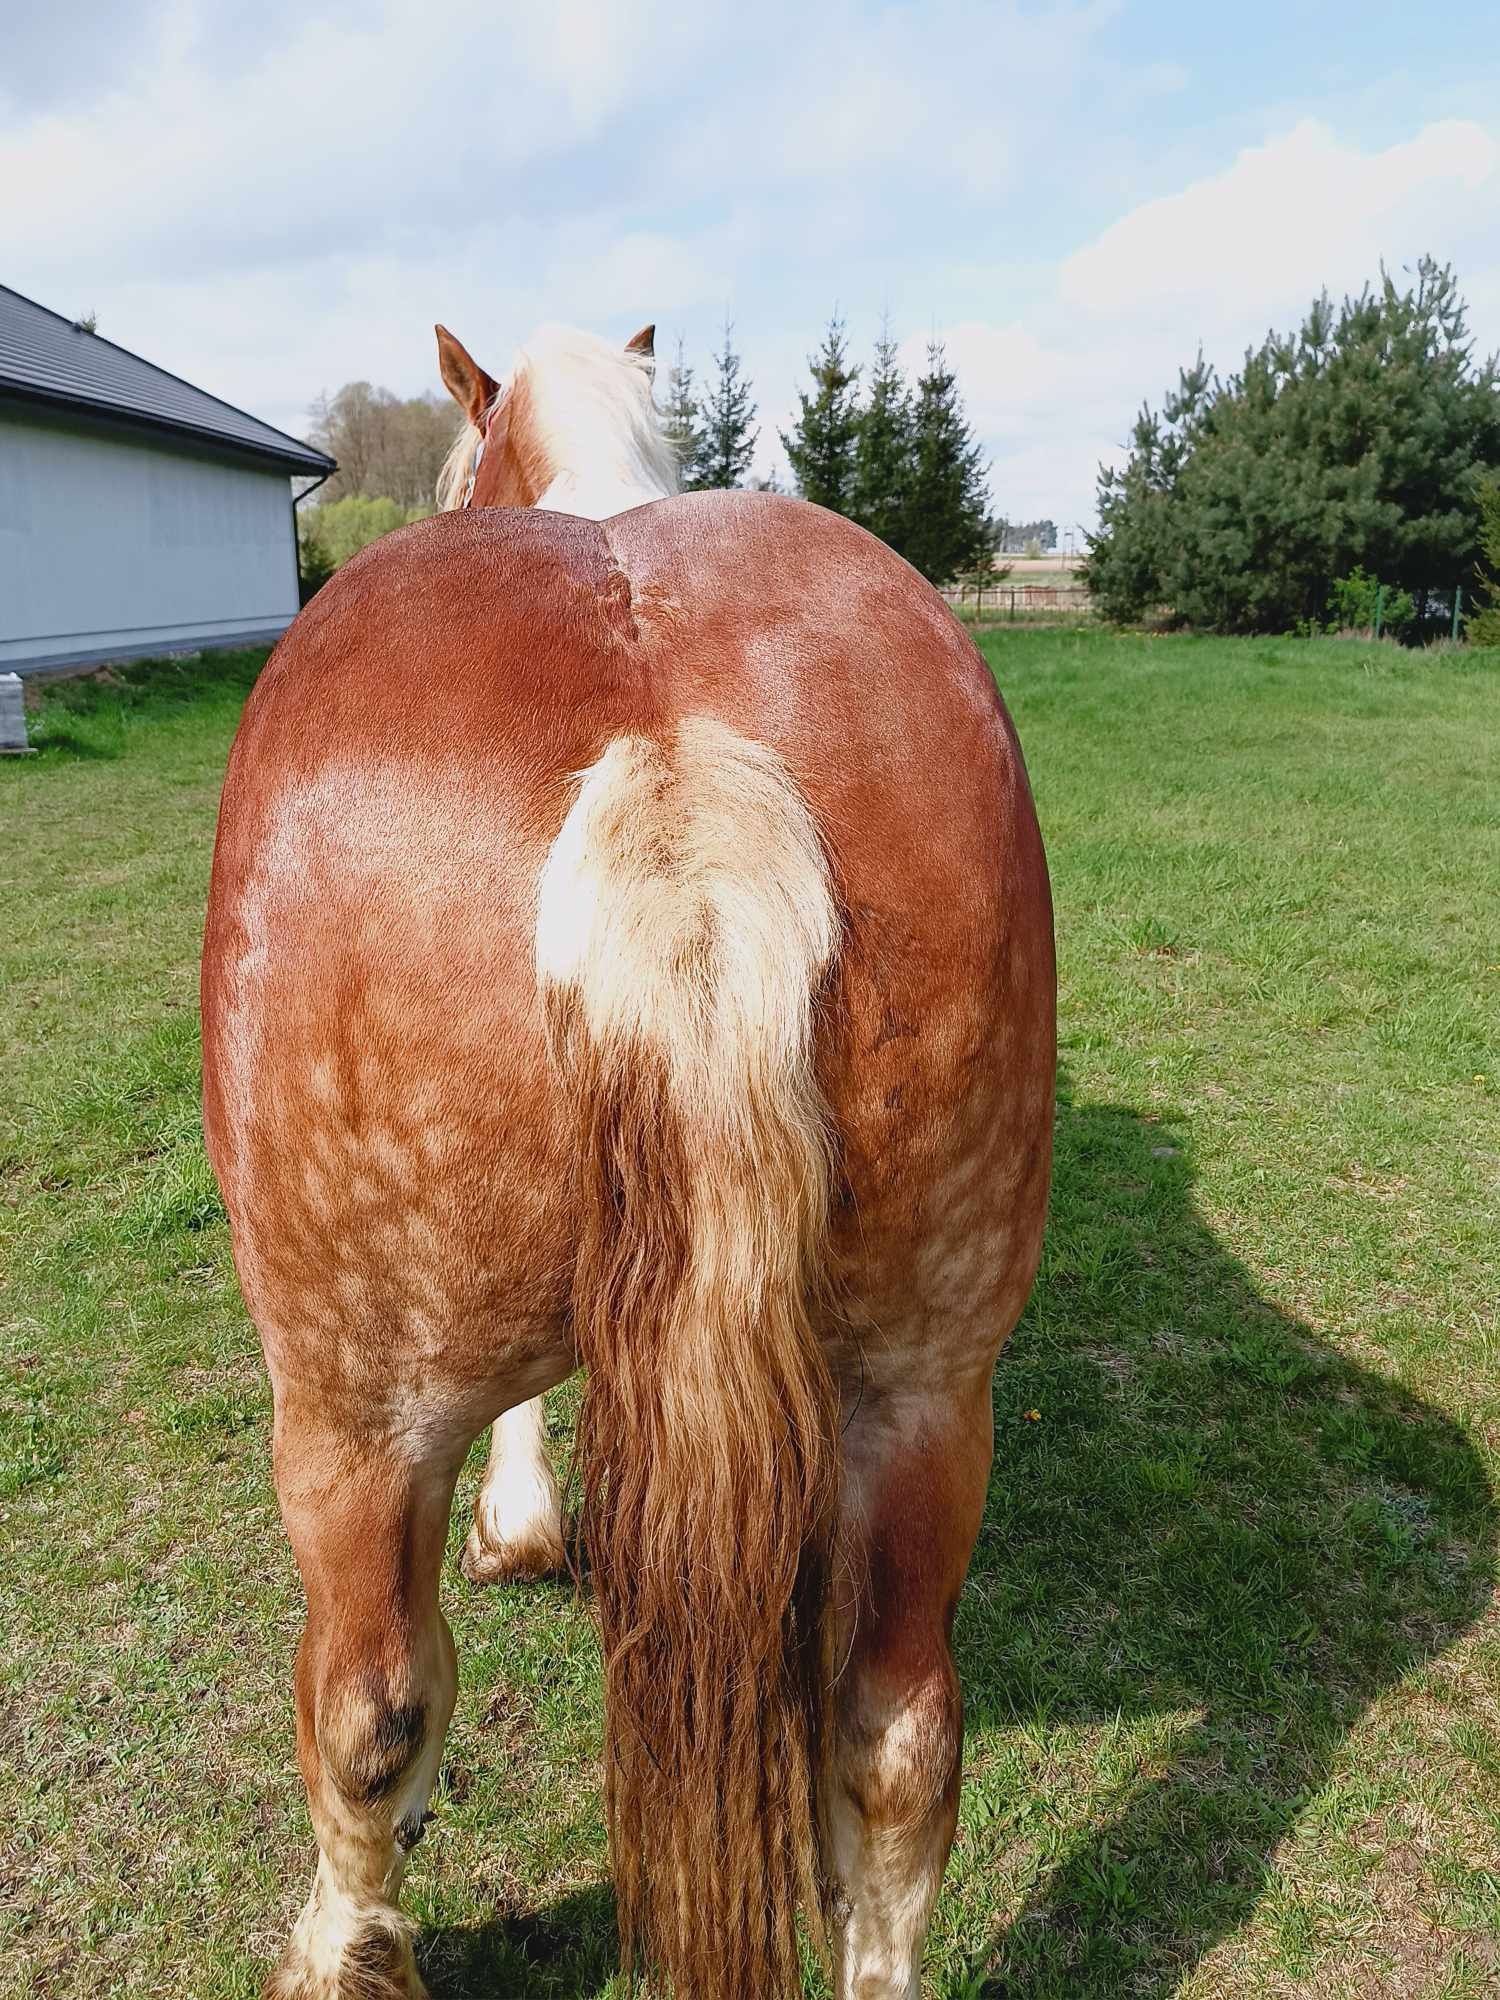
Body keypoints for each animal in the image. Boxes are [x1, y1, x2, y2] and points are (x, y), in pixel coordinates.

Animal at [206, 320, 1056, 1992]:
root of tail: (678, 763)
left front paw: (521, 1531)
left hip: (346, 1409)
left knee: (369, 1711)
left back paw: (340, 1943)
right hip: (929, 1391)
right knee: (900, 1744)